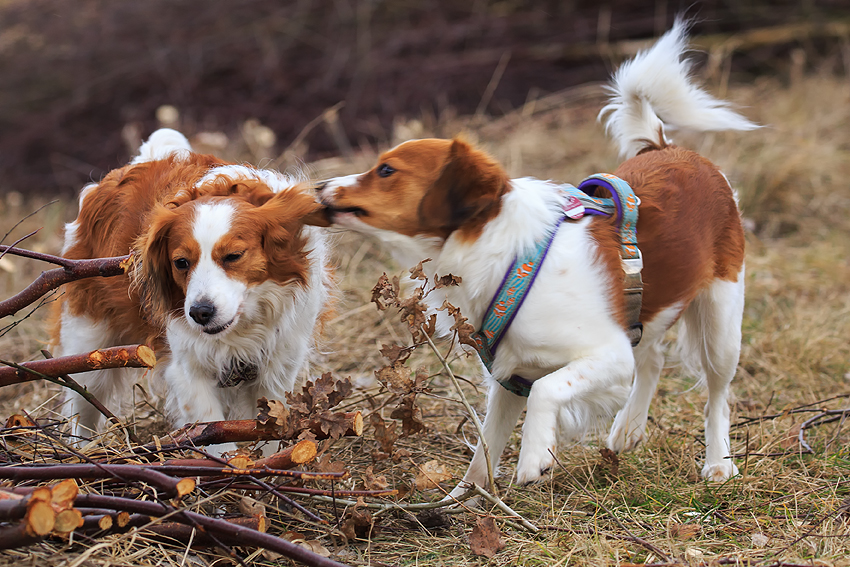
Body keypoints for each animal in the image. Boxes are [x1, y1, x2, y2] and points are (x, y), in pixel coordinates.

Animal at [53, 129, 332, 452]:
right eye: (181, 262)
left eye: (233, 256)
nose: (200, 312)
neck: (241, 329)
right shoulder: (188, 369)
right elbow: (212, 428)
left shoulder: (276, 368)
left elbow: (267, 429)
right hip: (89, 343)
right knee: (81, 401)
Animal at [314, 23, 752, 492]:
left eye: (386, 171)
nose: (319, 185)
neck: (507, 259)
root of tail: (669, 149)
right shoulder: (511, 375)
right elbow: (484, 453)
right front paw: (461, 500)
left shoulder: (606, 353)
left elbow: (548, 390)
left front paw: (534, 457)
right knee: (652, 357)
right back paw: (628, 429)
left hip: (721, 322)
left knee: (717, 393)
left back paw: (718, 462)